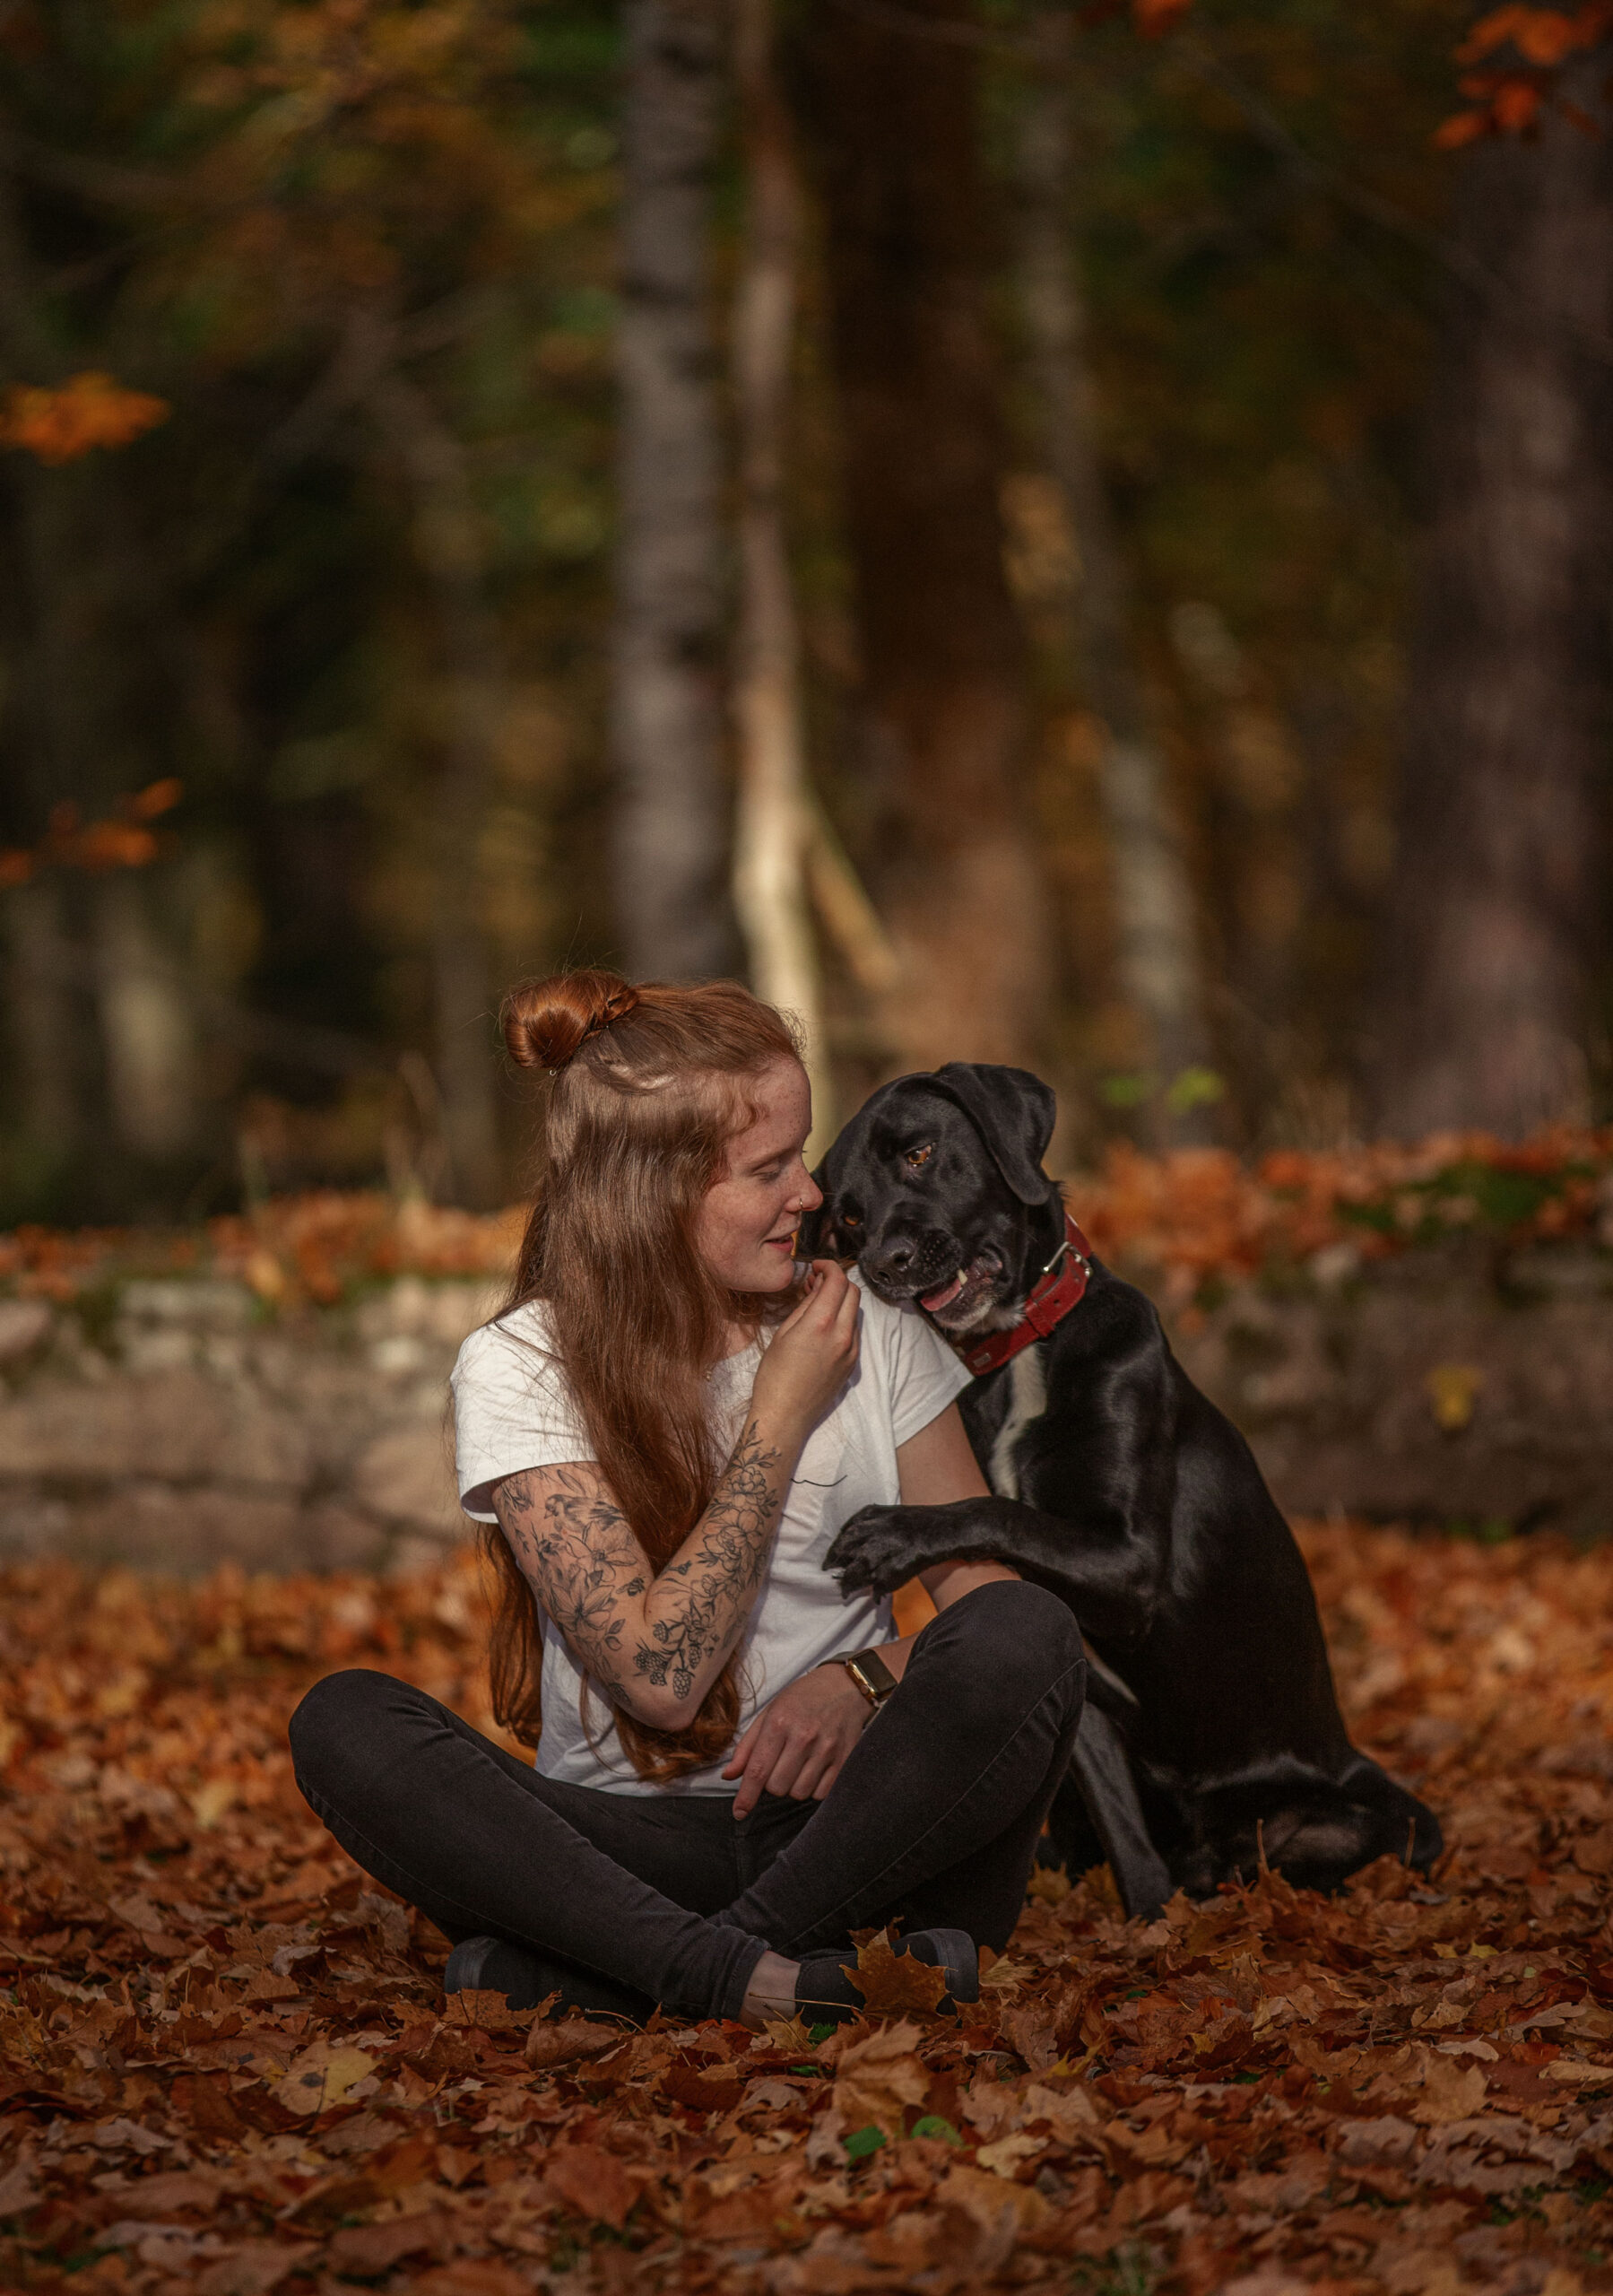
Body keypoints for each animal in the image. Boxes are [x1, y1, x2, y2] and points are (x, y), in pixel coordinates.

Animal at [811, 1065, 1441, 1909]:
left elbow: (998, 1507)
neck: (1018, 1354)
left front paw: (890, 1534)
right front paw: (1150, 1923)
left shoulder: (1130, 1563)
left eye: (919, 1152)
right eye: (848, 1219)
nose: (886, 1263)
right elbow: (1127, 1841)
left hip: (1388, 1817)